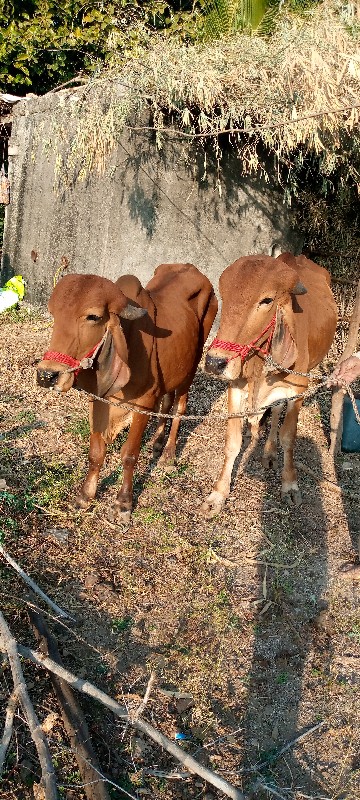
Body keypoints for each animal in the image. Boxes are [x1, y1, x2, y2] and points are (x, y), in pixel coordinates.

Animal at [35, 266, 217, 520]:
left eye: (93, 317)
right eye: (54, 314)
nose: (46, 375)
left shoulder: (143, 403)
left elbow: (129, 454)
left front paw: (123, 503)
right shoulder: (99, 398)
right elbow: (96, 452)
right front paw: (85, 496)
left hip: (191, 368)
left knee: (179, 407)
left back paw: (168, 453)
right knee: (166, 402)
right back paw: (157, 442)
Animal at [202, 253, 338, 516]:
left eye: (267, 300)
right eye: (224, 295)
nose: (215, 362)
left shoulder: (297, 392)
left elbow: (288, 437)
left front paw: (290, 484)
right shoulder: (236, 387)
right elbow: (232, 442)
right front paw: (218, 494)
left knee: (276, 412)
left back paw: (270, 452)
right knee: (274, 410)